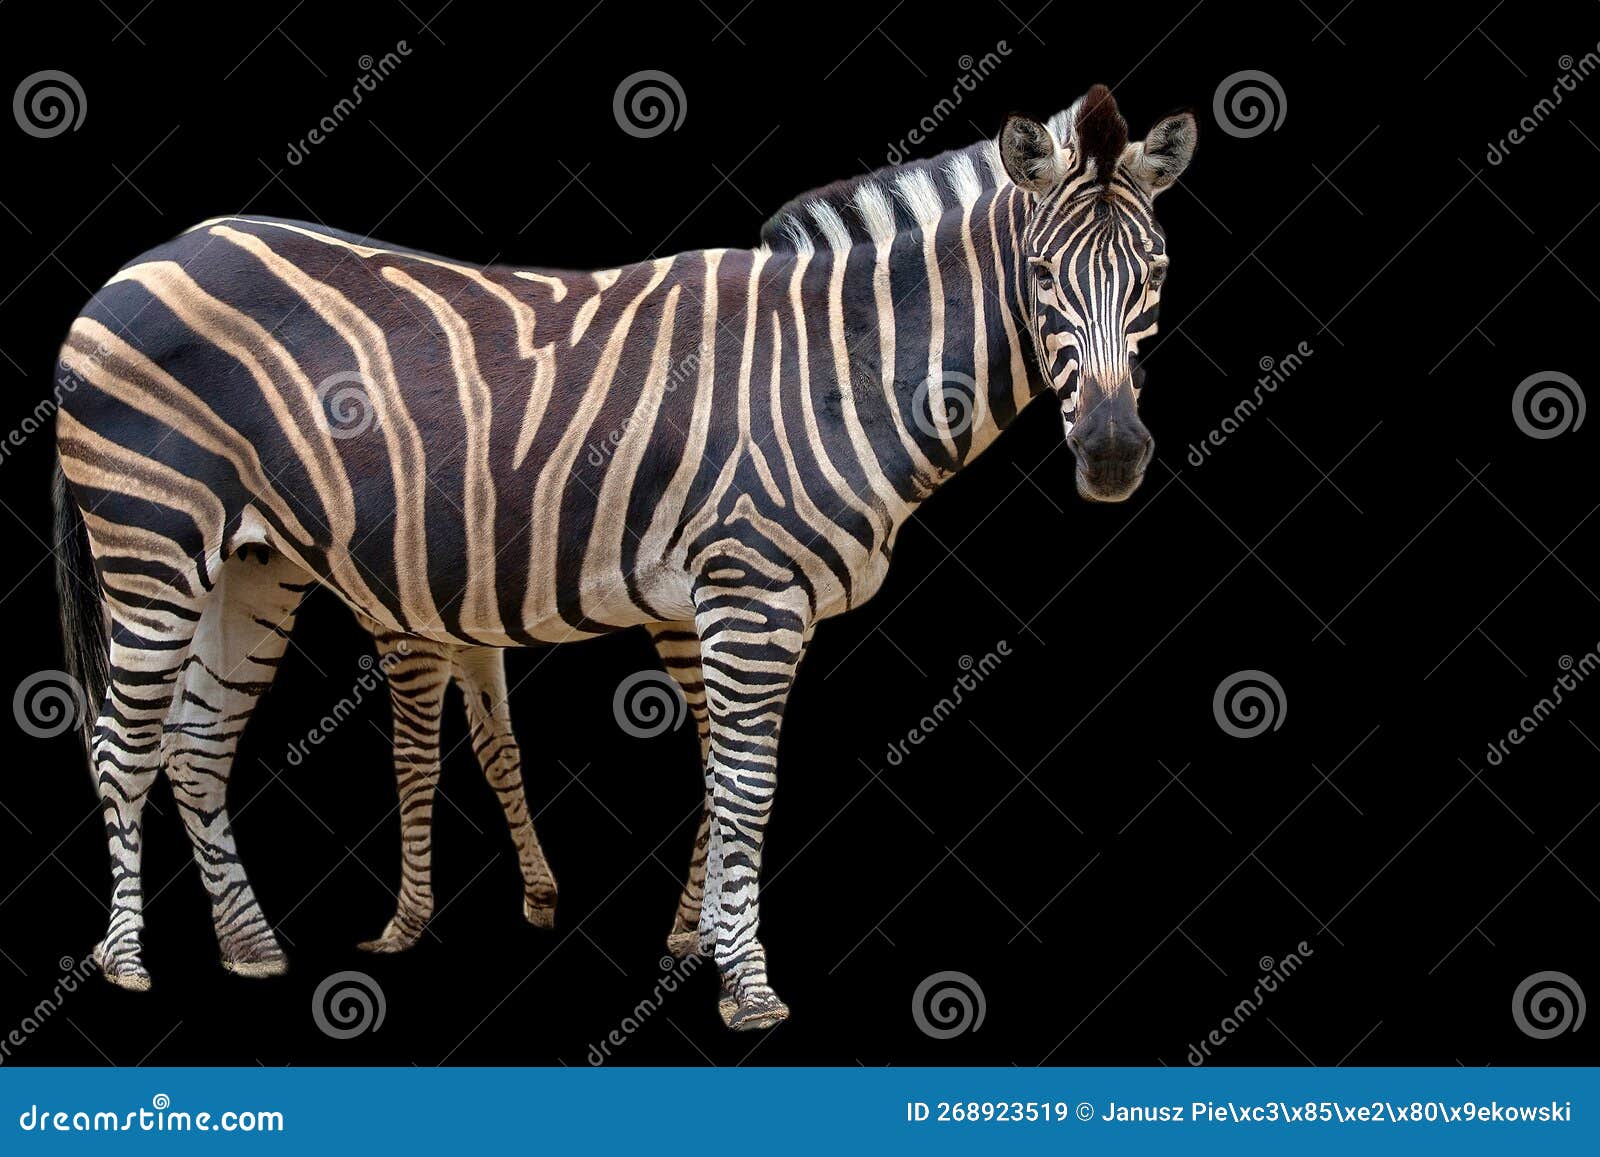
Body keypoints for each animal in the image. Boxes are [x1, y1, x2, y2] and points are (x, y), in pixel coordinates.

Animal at [53, 83, 1196, 1029]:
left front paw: (697, 948)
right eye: (1040, 277)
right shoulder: (749, 595)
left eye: (1157, 276)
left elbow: (719, 780)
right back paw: (125, 963)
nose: (1111, 454)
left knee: (198, 744)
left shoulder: (711, 606)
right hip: (150, 543)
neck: (841, 370)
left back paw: (251, 948)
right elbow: (748, 787)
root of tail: (145, 258)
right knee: (120, 741)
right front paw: (747, 986)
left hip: (252, 566)